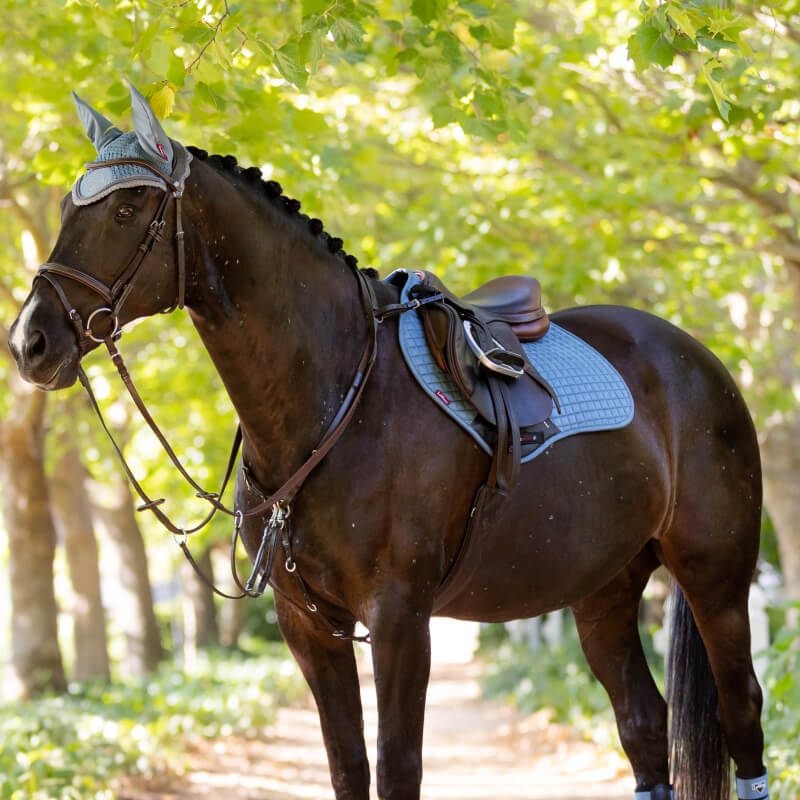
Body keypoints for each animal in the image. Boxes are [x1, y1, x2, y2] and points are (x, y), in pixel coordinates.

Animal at [8, 87, 770, 800]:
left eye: (127, 210)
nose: (29, 342)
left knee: (742, 713)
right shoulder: (308, 624)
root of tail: (696, 359)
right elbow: (347, 765)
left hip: (715, 579)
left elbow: (397, 769)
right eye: (69, 208)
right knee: (642, 722)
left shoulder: (401, 616)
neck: (337, 395)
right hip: (604, 589)